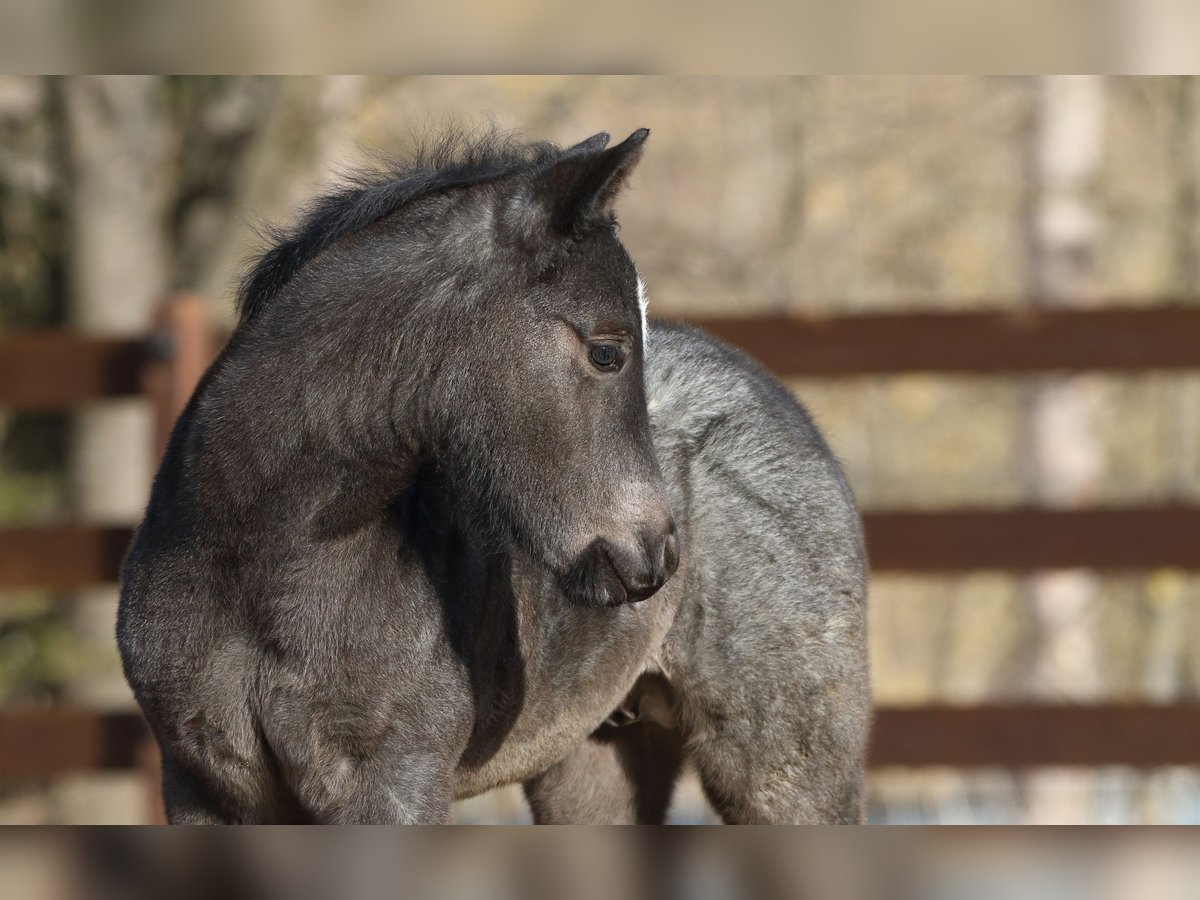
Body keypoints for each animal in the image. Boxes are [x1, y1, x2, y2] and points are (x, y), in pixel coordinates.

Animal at [119, 128, 873, 825]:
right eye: (606, 351)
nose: (655, 554)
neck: (257, 569)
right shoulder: (203, 785)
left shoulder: (394, 780)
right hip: (593, 760)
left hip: (785, 761)